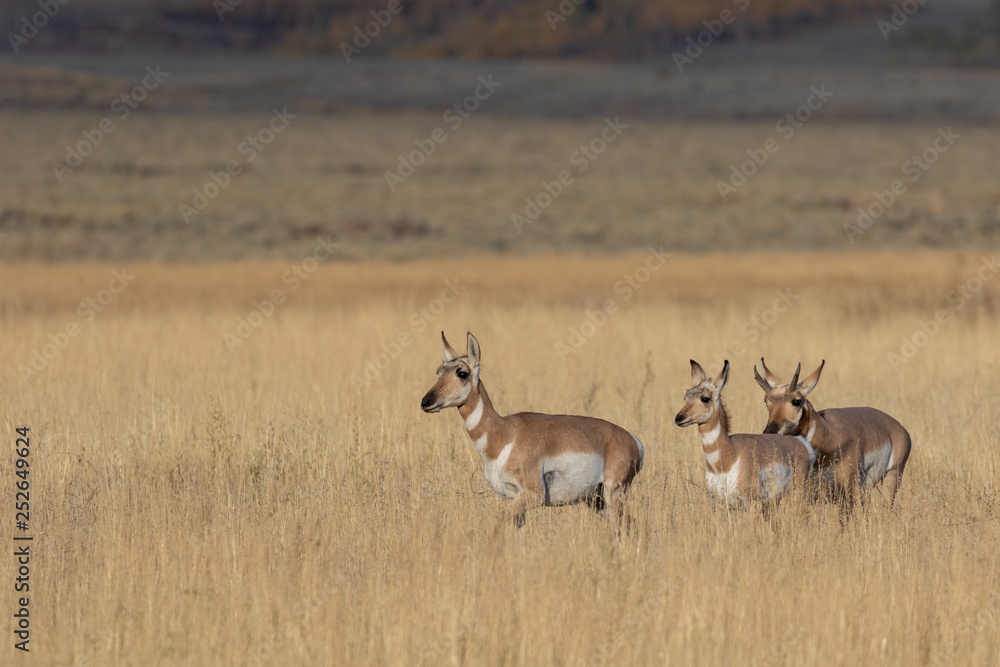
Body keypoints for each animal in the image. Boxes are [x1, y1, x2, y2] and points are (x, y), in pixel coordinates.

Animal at [418, 334, 644, 532]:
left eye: (462, 373)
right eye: (439, 371)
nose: (425, 402)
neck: (505, 435)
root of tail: (633, 440)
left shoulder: (532, 496)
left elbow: (498, 520)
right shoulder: (512, 497)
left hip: (613, 494)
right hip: (598, 501)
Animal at [676, 362, 816, 508]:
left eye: (705, 398)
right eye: (685, 397)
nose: (679, 418)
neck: (728, 458)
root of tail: (801, 442)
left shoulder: (752, 503)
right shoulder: (719, 504)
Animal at [756, 360, 916, 506]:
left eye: (796, 401)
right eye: (766, 401)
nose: (769, 432)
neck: (828, 435)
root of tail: (898, 427)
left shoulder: (847, 494)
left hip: (891, 478)